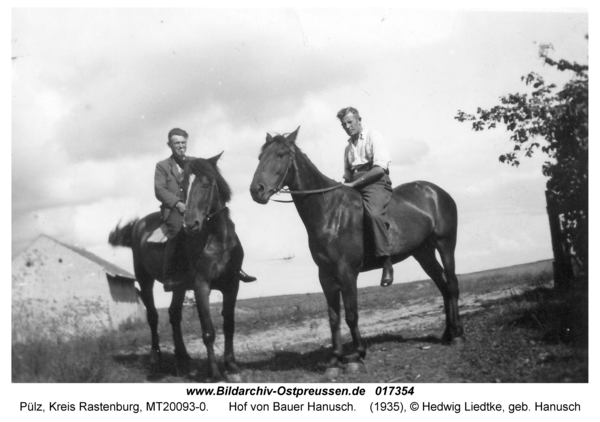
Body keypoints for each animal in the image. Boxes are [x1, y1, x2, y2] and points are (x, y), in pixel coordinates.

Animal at [110, 153, 244, 380]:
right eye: (183, 186)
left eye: (206, 184)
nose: (190, 224)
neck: (218, 240)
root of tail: (139, 225)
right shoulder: (201, 287)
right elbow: (208, 332)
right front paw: (215, 372)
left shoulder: (232, 285)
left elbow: (229, 324)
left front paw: (231, 364)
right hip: (145, 279)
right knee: (153, 317)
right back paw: (155, 358)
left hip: (179, 287)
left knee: (174, 315)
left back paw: (183, 356)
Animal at [250, 127, 464, 374]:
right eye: (260, 156)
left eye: (281, 154)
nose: (256, 190)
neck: (330, 212)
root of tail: (436, 191)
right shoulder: (325, 275)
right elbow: (333, 317)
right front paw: (335, 359)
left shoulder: (347, 272)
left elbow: (351, 314)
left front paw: (357, 355)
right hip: (424, 253)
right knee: (444, 288)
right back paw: (447, 334)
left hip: (446, 245)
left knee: (453, 285)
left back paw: (458, 335)